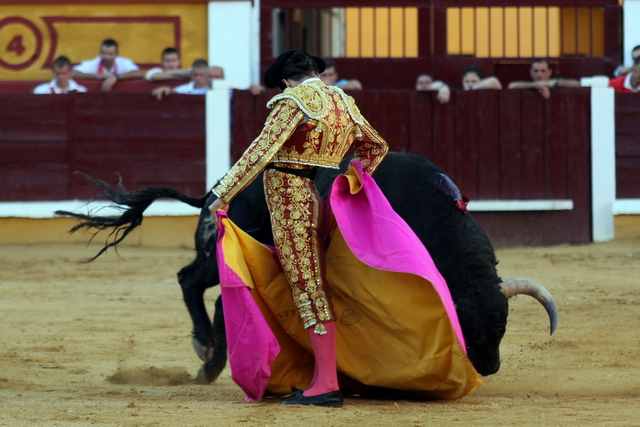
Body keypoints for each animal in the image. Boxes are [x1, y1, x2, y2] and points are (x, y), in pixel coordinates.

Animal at [56, 153, 556, 384]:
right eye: (465, 325)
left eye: (503, 324)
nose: (488, 367)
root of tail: (219, 186)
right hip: (230, 250)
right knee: (191, 280)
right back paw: (205, 353)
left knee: (211, 294)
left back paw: (214, 359)